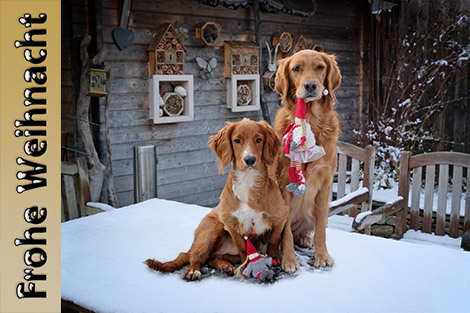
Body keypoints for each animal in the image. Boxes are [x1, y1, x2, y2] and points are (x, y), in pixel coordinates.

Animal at [145, 118, 300, 280]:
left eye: (259, 140)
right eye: (237, 140)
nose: (250, 160)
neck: (248, 181)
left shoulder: (280, 217)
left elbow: (274, 240)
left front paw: (274, 257)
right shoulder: (230, 224)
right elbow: (243, 247)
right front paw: (248, 264)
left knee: (212, 257)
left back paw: (225, 266)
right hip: (212, 229)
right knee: (196, 256)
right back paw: (194, 270)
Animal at [272, 48, 342, 266]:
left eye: (320, 67)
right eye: (296, 68)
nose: (310, 85)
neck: (310, 121)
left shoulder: (325, 183)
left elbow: (320, 230)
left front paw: (322, 255)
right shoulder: (284, 183)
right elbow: (285, 232)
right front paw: (289, 260)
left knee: (304, 231)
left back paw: (304, 238)